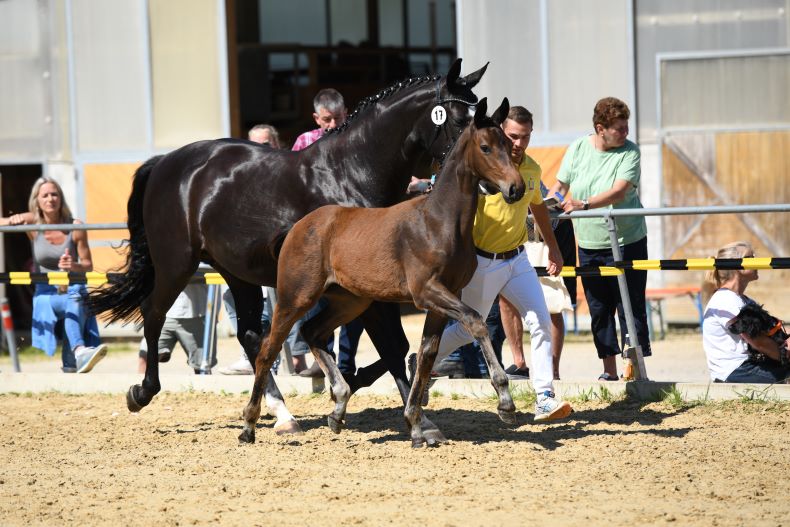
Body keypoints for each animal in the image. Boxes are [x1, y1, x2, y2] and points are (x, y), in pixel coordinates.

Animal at [241, 98, 524, 446]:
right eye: (485, 147)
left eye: (509, 144)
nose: (516, 188)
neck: (438, 221)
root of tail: (296, 227)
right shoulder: (426, 292)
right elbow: (476, 322)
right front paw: (506, 404)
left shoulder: (444, 297)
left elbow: (426, 354)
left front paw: (416, 425)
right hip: (296, 296)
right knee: (268, 350)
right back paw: (250, 426)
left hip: (350, 301)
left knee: (312, 332)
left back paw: (338, 407)